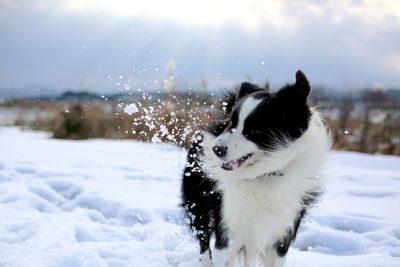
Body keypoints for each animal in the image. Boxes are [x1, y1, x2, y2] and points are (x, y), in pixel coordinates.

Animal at [181, 71, 332, 267]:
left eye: (255, 130)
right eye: (232, 124)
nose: (217, 149)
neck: (264, 174)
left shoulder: (283, 233)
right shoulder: (227, 227)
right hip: (197, 206)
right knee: (204, 243)